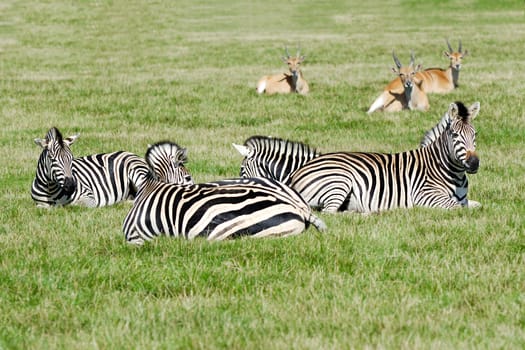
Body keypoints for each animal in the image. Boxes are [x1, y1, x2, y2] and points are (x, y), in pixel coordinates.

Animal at [288, 100, 482, 212]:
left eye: (475, 134)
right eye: (455, 135)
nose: (473, 163)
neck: (453, 173)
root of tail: (296, 173)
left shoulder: (464, 199)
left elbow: (477, 205)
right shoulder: (425, 195)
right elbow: (460, 208)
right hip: (339, 181)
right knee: (329, 213)